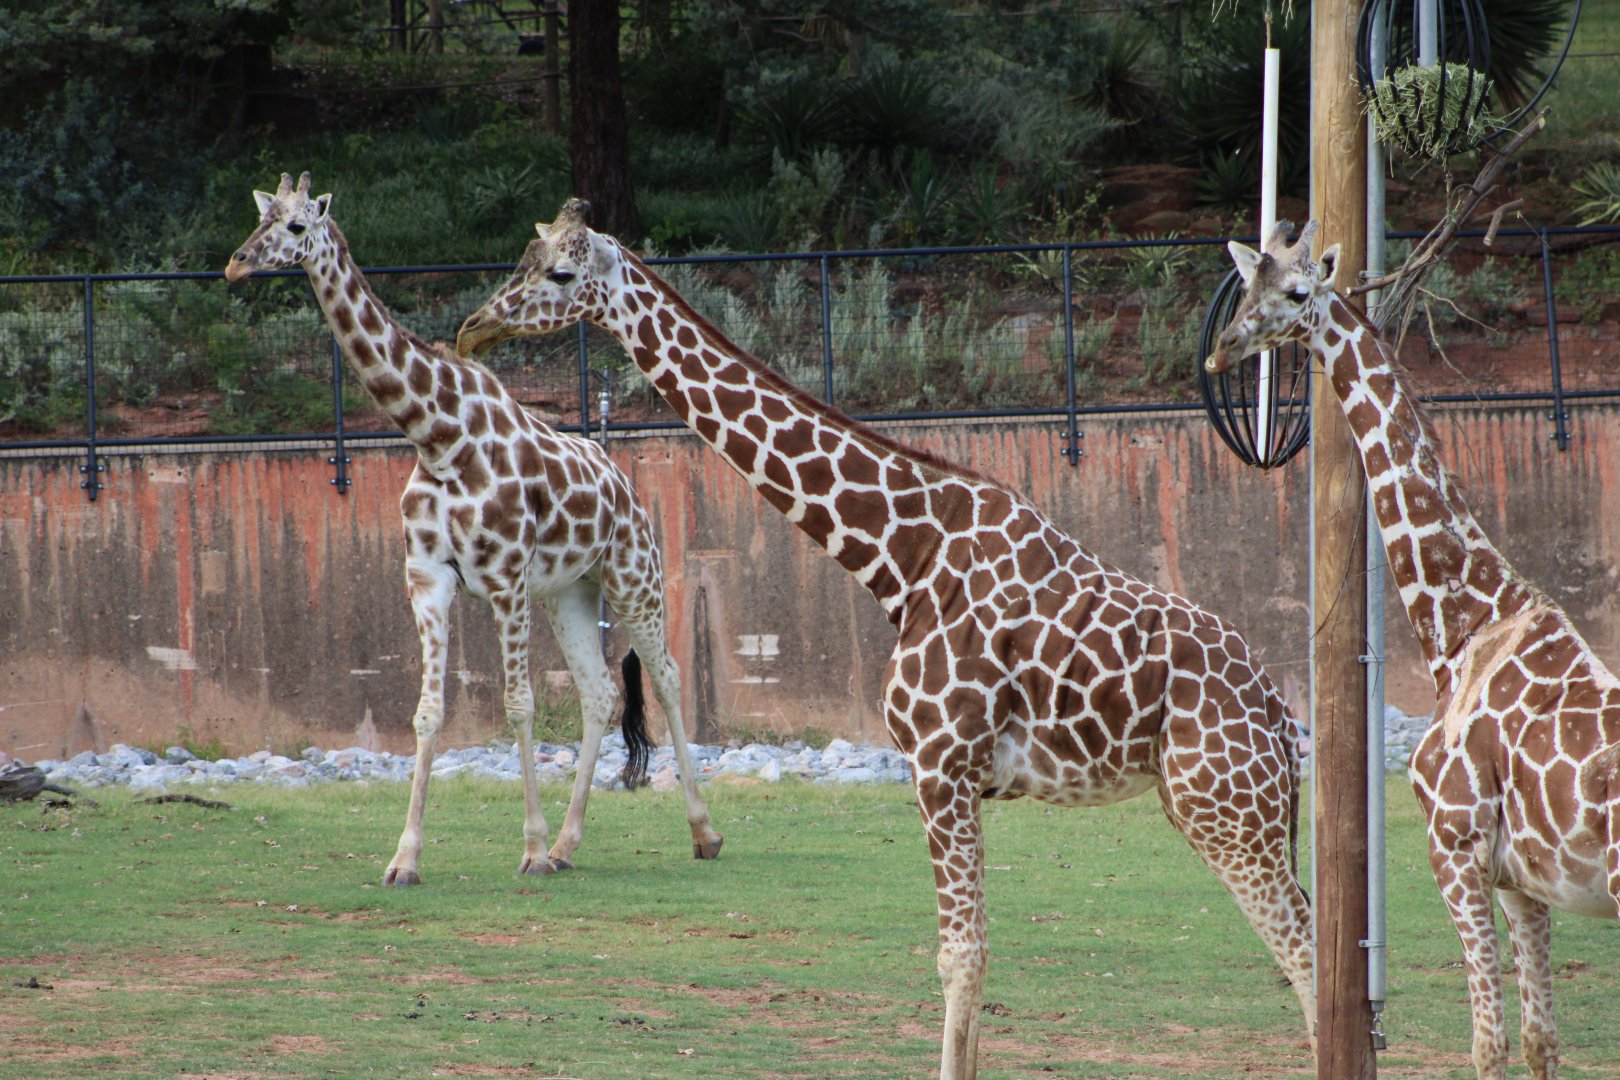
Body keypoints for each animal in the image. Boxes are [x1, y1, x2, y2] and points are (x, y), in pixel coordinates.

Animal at [224, 174, 723, 884]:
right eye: (261, 217)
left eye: (296, 227)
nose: (237, 263)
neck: (439, 435)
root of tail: (626, 486)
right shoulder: (428, 579)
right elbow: (428, 712)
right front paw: (405, 858)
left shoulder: (507, 579)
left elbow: (518, 705)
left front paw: (531, 851)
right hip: (570, 593)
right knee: (599, 693)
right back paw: (570, 844)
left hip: (635, 577)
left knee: (670, 676)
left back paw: (702, 833)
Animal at [455, 199, 1317, 1079]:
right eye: (522, 261)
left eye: (560, 272)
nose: (472, 328)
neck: (904, 558)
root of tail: (1281, 720)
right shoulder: (961, 778)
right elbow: (974, 955)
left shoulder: (939, 763)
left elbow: (958, 956)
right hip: (1213, 809)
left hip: (1226, 809)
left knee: (1303, 948)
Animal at [1208, 220, 1620, 1080]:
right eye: (1241, 286)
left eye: (1296, 291)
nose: (1221, 352)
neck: (1461, 628)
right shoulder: (1520, 881)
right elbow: (1540, 1041)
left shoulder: (1453, 849)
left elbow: (1488, 1044)